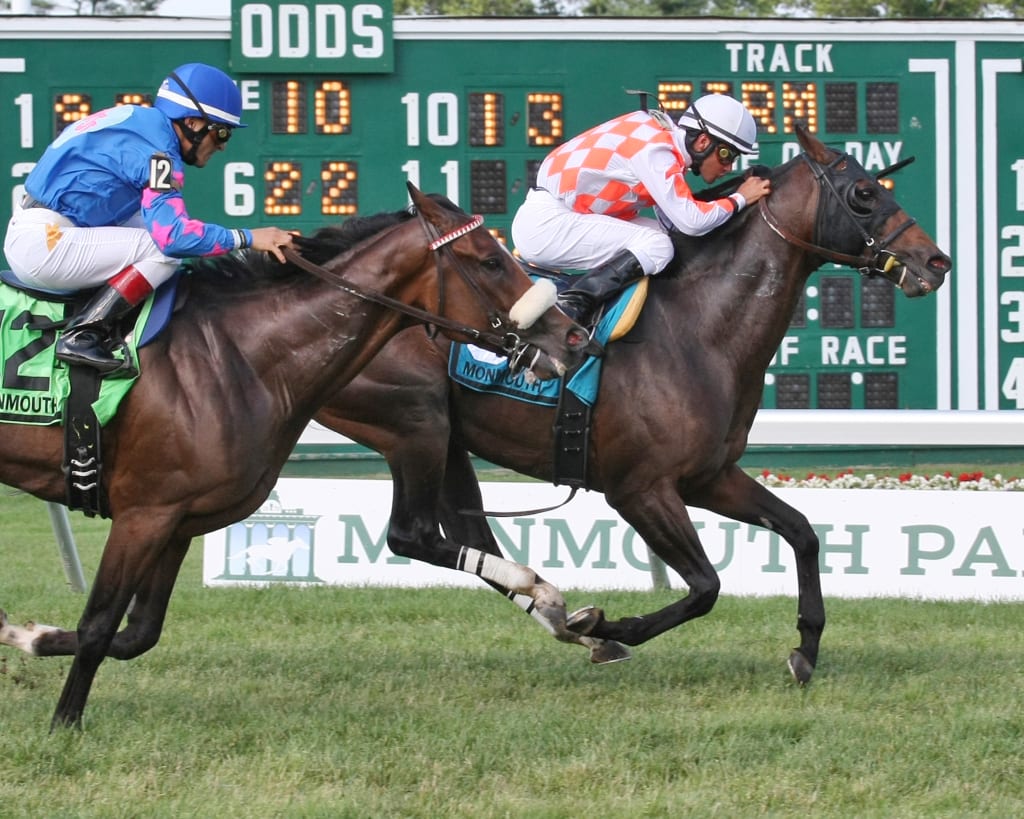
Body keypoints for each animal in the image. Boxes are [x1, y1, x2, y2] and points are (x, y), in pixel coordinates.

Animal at [0, 187, 593, 728]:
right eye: (491, 259)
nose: (573, 336)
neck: (237, 354)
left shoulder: (178, 520)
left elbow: (137, 634)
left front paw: (24, 633)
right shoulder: (145, 513)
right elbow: (100, 625)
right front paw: (64, 725)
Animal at [313, 124, 950, 679]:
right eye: (864, 193)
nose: (936, 262)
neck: (697, 330)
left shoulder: (708, 476)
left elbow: (802, 532)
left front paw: (806, 649)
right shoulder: (639, 488)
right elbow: (706, 587)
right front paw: (608, 627)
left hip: (445, 439)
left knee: (469, 536)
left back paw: (551, 608)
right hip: (414, 423)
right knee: (414, 535)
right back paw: (567, 617)